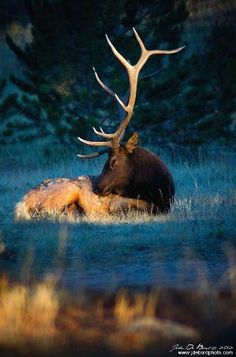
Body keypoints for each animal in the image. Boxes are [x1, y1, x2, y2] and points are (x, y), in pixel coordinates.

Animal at [15, 28, 184, 220]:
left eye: (113, 161)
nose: (96, 187)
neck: (161, 191)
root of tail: (20, 204)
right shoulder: (121, 203)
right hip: (65, 192)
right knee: (49, 212)